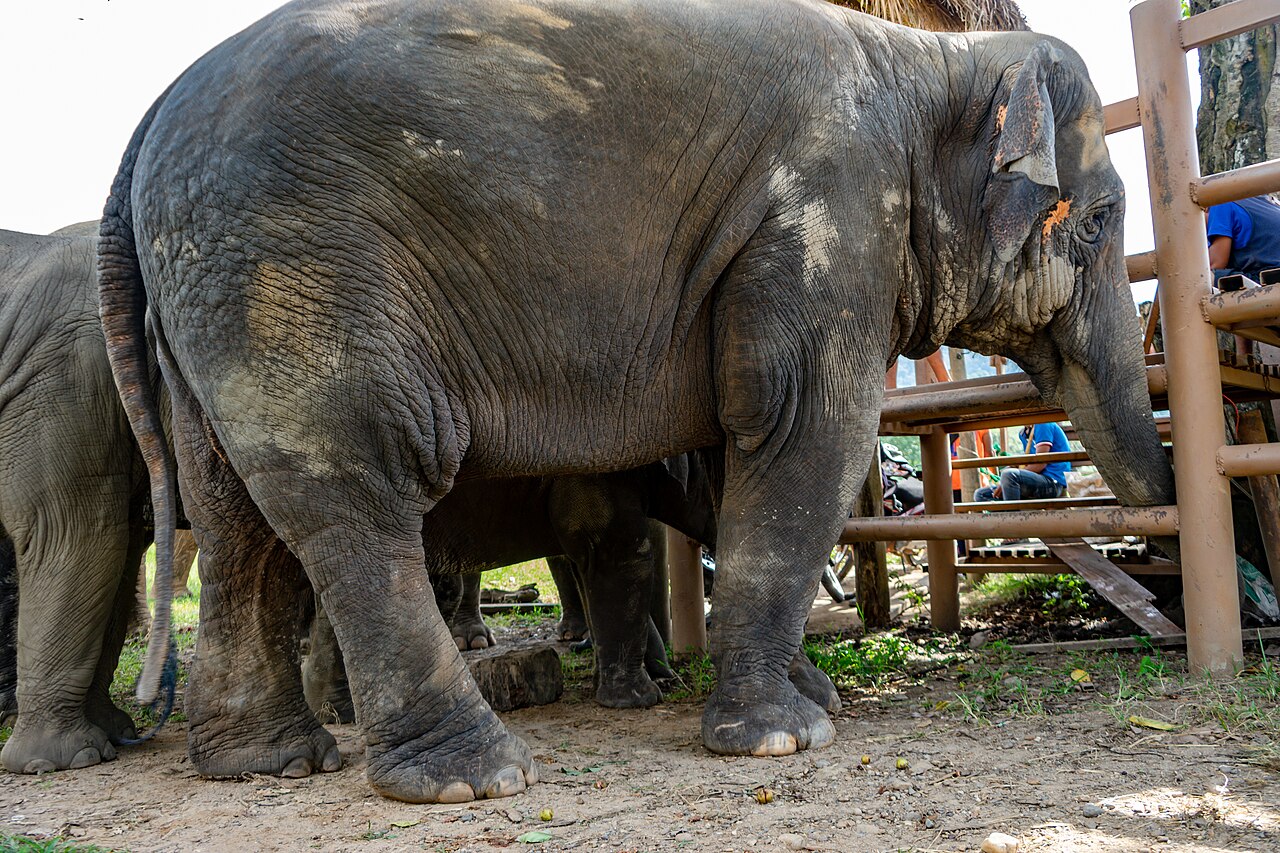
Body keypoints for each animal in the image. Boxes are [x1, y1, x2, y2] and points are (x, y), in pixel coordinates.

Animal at [99, 0, 1174, 803]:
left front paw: (813, 696)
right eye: (1103, 219)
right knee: (359, 493)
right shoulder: (828, 215)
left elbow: (752, 457)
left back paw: (268, 762)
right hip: (296, 276)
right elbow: (803, 431)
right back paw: (472, 777)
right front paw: (780, 739)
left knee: (234, 520)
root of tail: (145, 122)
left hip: (208, 300)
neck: (935, 60)